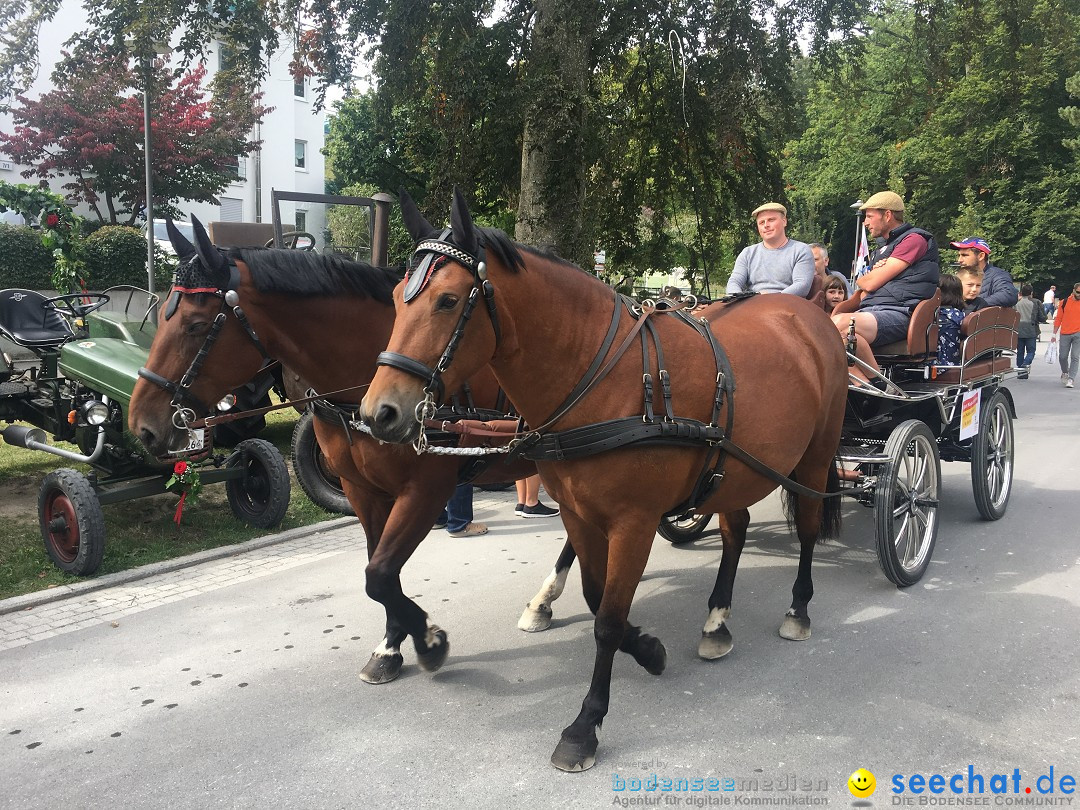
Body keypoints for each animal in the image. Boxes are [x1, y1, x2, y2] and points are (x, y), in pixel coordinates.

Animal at [126, 220, 540, 686]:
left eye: (196, 325)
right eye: (162, 313)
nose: (142, 425)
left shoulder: (425, 491)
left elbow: (379, 576)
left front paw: (427, 640)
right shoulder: (362, 491)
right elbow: (381, 574)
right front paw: (391, 645)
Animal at [362, 190, 851, 773]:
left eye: (449, 300)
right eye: (395, 297)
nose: (379, 413)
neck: (602, 379)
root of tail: (810, 317)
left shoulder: (634, 523)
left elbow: (609, 619)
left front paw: (585, 724)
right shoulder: (578, 512)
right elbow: (597, 597)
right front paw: (648, 649)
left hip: (814, 457)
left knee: (807, 528)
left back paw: (798, 609)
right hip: (735, 467)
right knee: (736, 530)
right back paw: (716, 621)